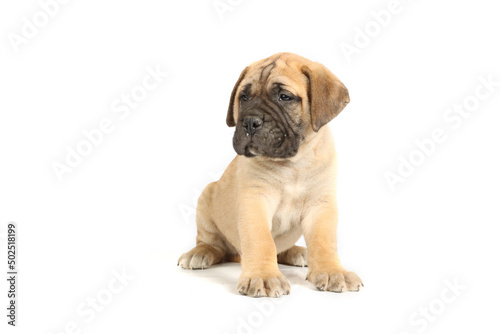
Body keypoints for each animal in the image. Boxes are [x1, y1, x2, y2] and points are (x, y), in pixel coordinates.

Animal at [178, 52, 362, 298]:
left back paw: (296, 251)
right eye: (244, 97)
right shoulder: (255, 200)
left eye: (284, 97)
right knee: (213, 243)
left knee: (281, 248)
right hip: (207, 198)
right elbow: (261, 239)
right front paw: (264, 276)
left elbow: (324, 242)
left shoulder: (321, 204)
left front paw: (332, 271)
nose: (249, 122)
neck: (293, 164)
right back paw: (199, 252)